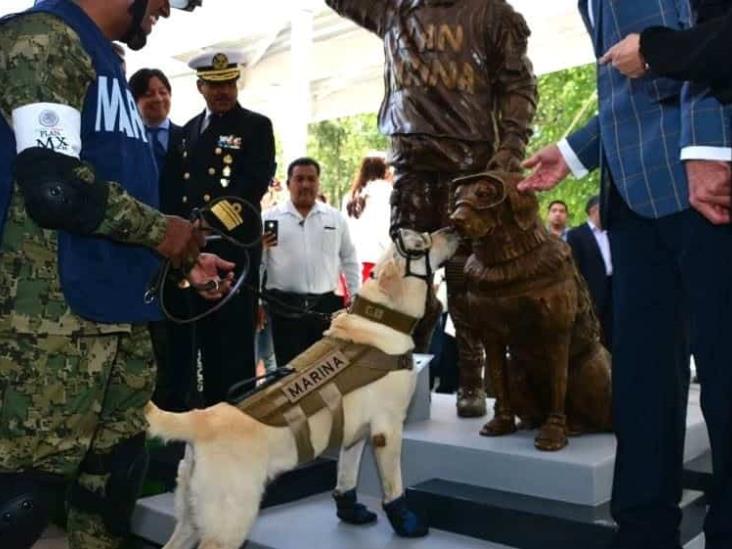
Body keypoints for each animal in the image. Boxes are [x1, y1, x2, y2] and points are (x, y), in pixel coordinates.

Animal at [146, 227, 460, 548]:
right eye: (420, 242)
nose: (451, 228)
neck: (381, 317)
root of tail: (202, 419)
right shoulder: (388, 429)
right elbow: (394, 486)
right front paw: (406, 523)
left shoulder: (355, 434)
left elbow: (346, 476)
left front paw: (350, 512)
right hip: (229, 521)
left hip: (190, 519)